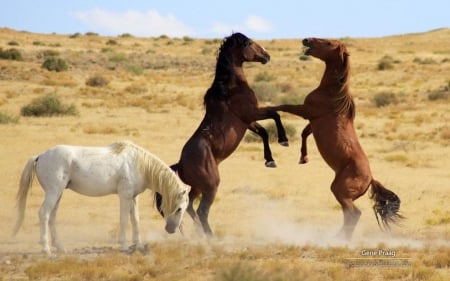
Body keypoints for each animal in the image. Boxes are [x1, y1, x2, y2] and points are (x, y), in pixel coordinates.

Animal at [13, 140, 190, 254]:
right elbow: (124, 220)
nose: (171, 229)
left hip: (58, 194)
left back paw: (61, 248)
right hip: (53, 192)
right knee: (44, 214)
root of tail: (40, 156)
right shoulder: (125, 196)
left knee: (52, 217)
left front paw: (138, 246)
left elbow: (135, 220)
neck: (138, 164)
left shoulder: (133, 197)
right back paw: (46, 249)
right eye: (179, 208)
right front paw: (124, 246)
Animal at [163, 32, 286, 234]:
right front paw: (284, 140)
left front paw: (270, 160)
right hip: (211, 185)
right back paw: (211, 236)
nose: (266, 55)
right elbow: (275, 114)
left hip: (198, 187)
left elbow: (264, 132)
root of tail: (180, 163)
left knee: (190, 206)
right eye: (249, 43)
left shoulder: (247, 121)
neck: (230, 89)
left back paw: (199, 233)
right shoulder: (252, 113)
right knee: (202, 210)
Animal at [268, 37, 402, 238]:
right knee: (349, 214)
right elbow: (304, 133)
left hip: (340, 191)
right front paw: (303, 158)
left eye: (328, 43)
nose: (306, 39)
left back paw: (340, 238)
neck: (332, 94)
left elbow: (282, 106)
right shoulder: (313, 121)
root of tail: (370, 179)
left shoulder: (305, 111)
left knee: (354, 213)